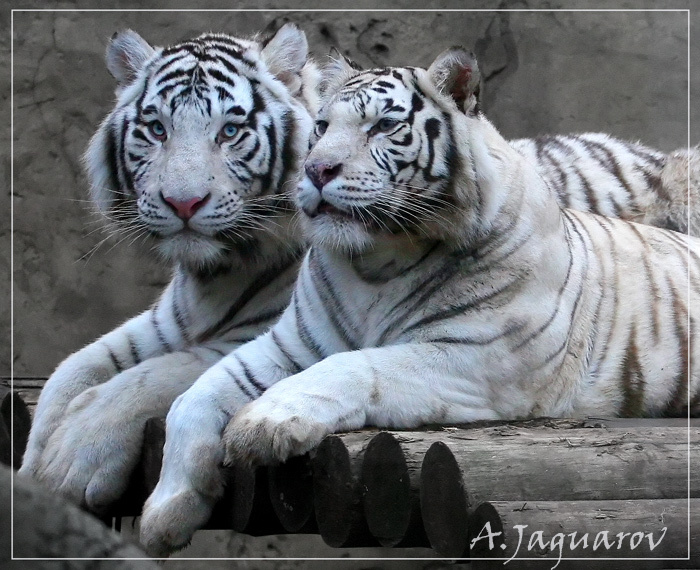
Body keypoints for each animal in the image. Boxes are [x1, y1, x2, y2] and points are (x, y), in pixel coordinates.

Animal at [18, 23, 319, 511]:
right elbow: (73, 369)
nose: (183, 203)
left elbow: (157, 374)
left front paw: (75, 456)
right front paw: (31, 478)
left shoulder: (266, 333)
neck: (214, 275)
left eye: (230, 131)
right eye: (158, 129)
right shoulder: (164, 324)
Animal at [137, 48, 700, 556]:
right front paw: (166, 513)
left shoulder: (480, 357)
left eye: (383, 126)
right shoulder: (290, 343)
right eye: (320, 127)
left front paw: (265, 424)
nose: (317, 170)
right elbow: (196, 394)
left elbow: (356, 365)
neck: (374, 261)